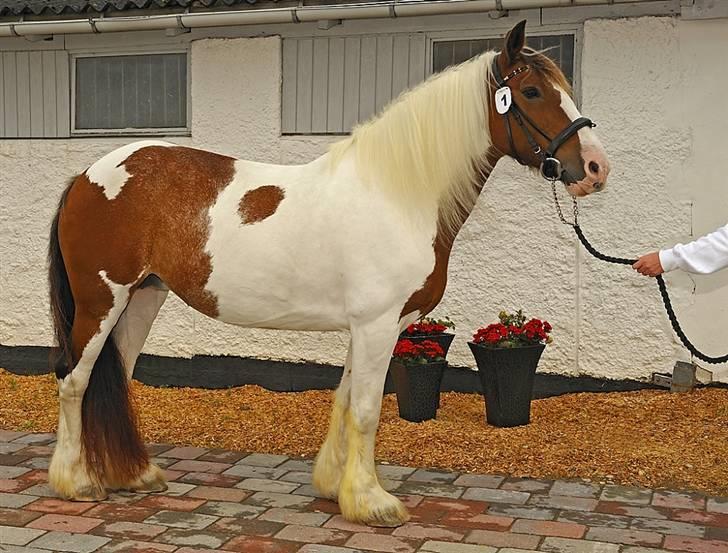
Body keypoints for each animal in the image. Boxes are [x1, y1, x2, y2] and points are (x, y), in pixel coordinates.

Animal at [48, 19, 608, 524]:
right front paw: (373, 503)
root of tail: (86, 176)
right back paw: (76, 483)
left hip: (144, 297)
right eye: (531, 91)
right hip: (103, 301)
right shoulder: (378, 325)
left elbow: (344, 399)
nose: (596, 169)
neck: (397, 194)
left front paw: (336, 486)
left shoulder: (374, 326)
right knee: (75, 381)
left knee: (114, 377)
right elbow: (366, 410)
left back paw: (134, 475)